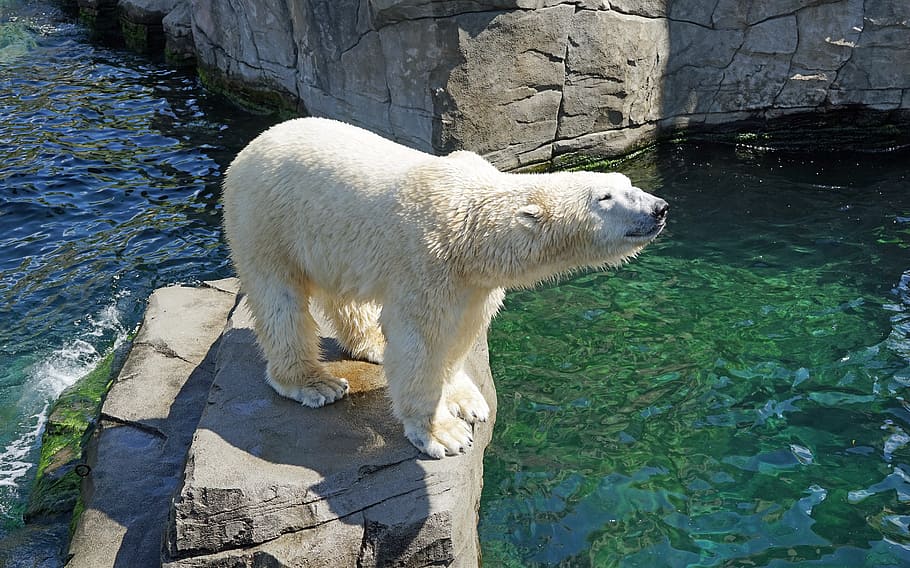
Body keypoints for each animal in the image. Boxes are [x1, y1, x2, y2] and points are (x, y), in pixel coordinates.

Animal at [222, 117, 668, 459]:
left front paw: (466, 401)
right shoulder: (427, 260)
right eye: (605, 197)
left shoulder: (473, 282)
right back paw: (315, 383)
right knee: (279, 301)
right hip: (266, 220)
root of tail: (251, 146)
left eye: (628, 181)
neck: (472, 226)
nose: (659, 208)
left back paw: (371, 344)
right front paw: (444, 433)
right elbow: (420, 342)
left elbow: (461, 333)